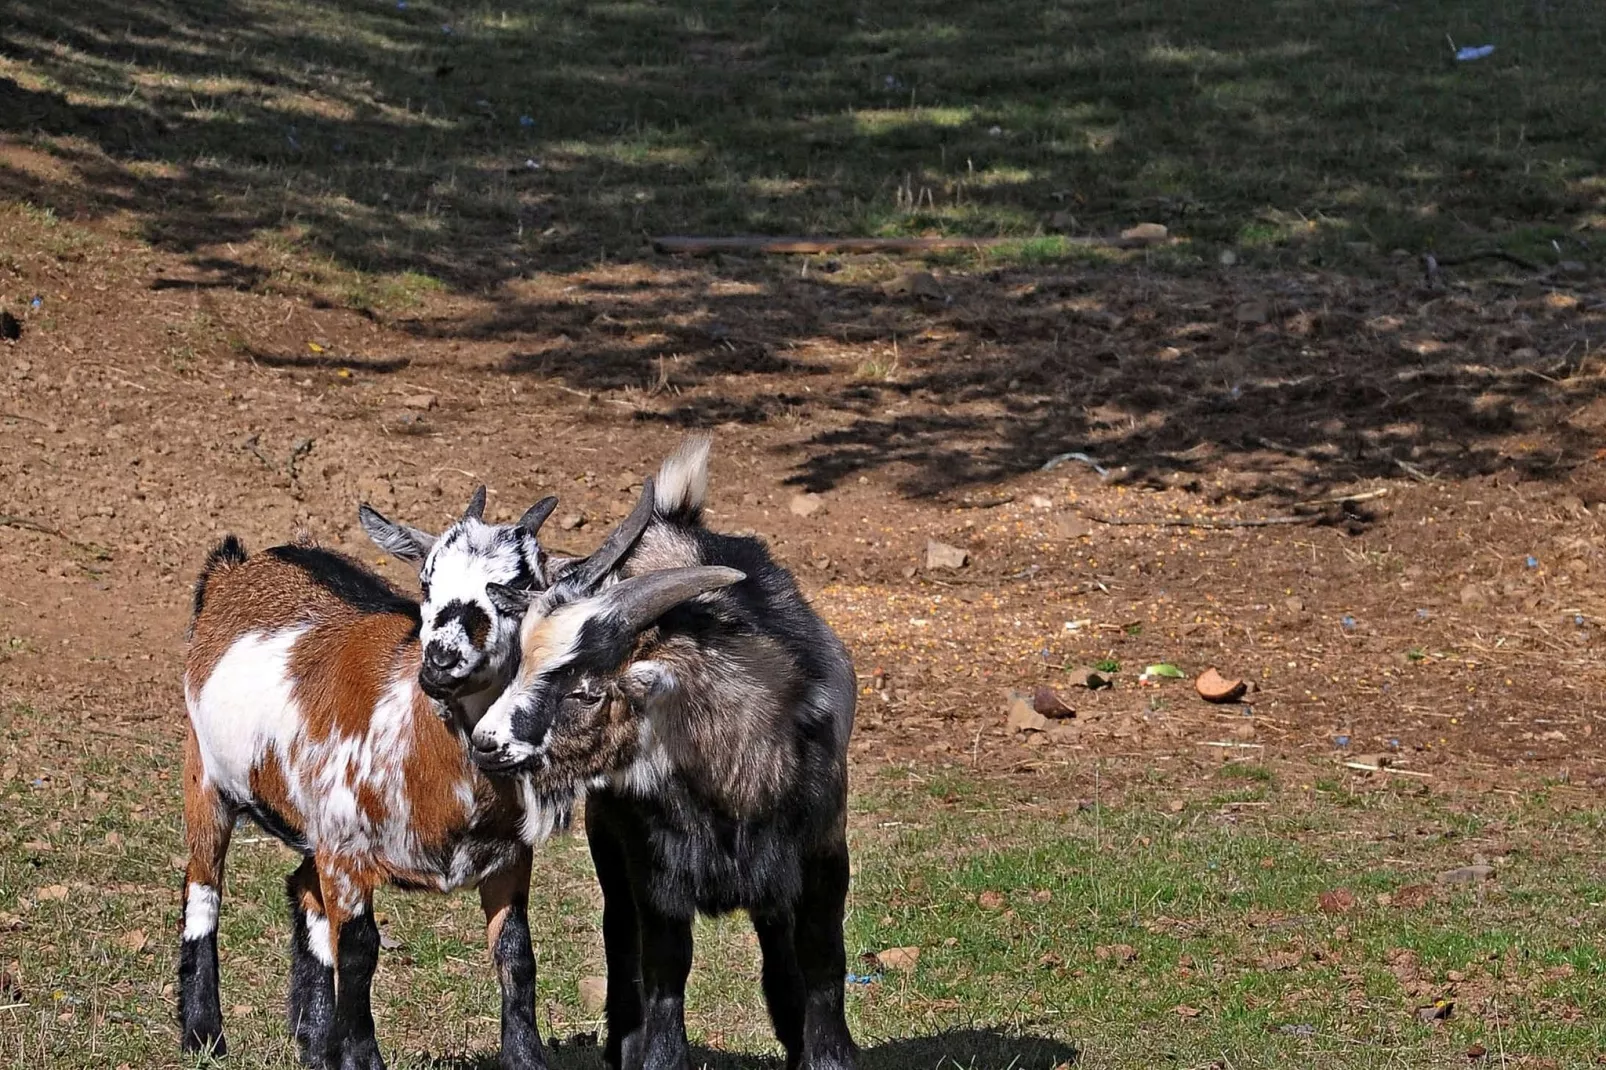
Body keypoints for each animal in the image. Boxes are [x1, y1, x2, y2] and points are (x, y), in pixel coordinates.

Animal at [179, 488, 597, 1066]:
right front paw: (360, 1056)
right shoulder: (348, 856)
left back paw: (314, 1042)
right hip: (205, 776)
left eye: (520, 587)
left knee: (303, 889)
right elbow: (359, 953)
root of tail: (239, 567)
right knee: (204, 886)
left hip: (314, 827)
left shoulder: (509, 857)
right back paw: (203, 1035)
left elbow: (516, 954)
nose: (440, 661)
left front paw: (526, 1056)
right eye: (426, 581)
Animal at [468, 440, 860, 1066]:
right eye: (520, 663)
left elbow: (821, 957)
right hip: (610, 845)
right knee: (620, 936)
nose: (486, 742)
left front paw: (822, 1053)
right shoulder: (655, 866)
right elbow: (664, 970)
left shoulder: (822, 850)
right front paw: (656, 1055)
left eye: (587, 691)